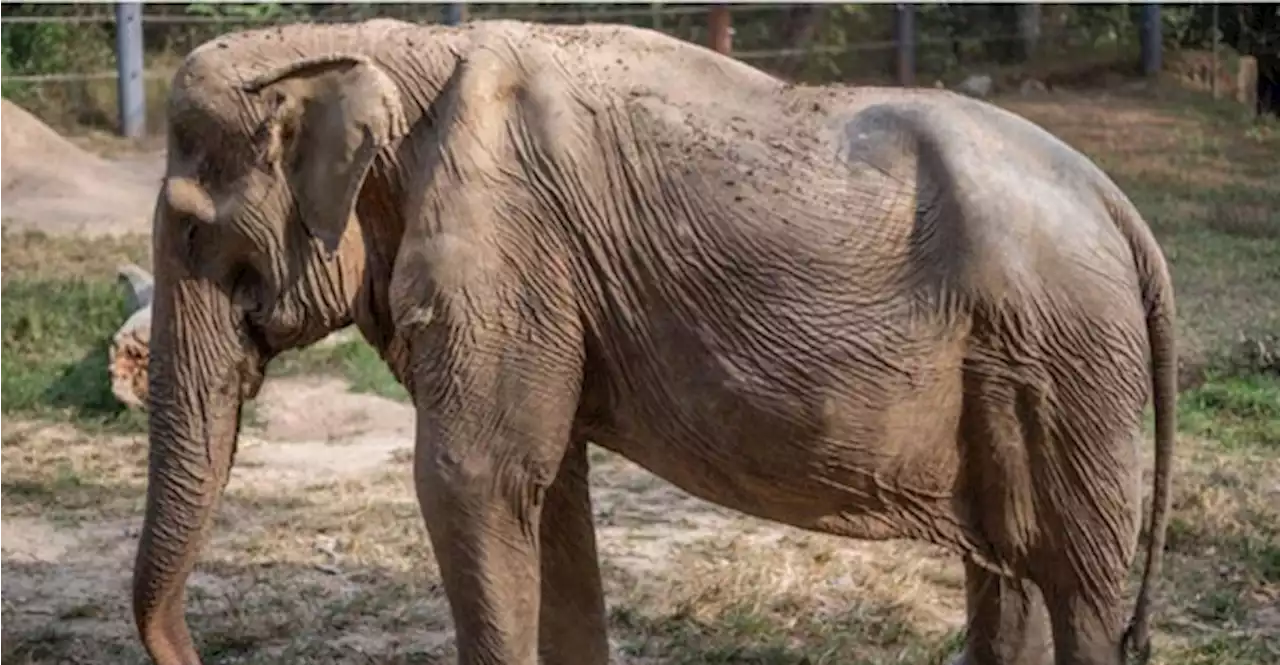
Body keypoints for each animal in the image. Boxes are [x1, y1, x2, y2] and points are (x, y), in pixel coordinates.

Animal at [135, 18, 1172, 665]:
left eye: (189, 231)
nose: (199, 651)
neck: (383, 47)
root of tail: (1124, 210)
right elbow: (547, 491)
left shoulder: (509, 249)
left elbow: (473, 477)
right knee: (1012, 568)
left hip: (1070, 362)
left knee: (1076, 581)